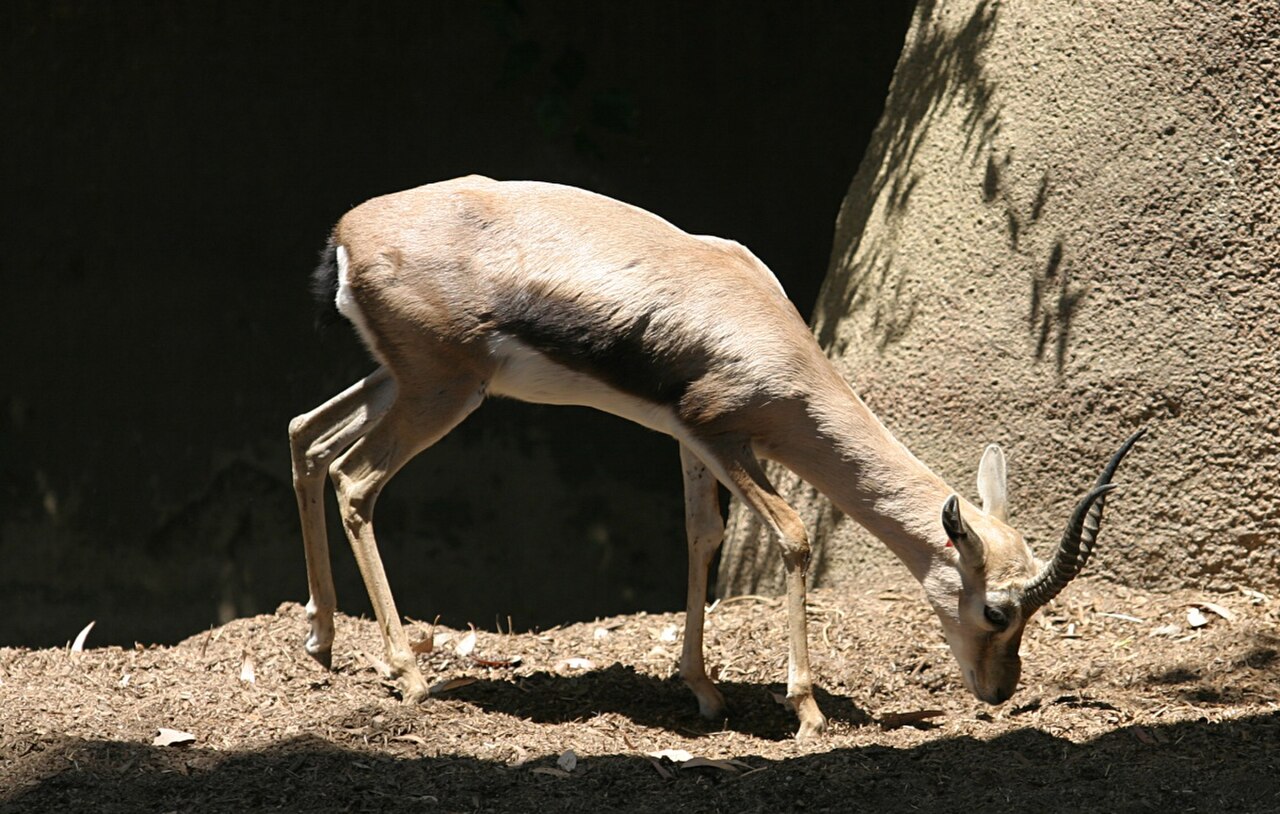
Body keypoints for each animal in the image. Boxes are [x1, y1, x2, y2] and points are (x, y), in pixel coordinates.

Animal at [288, 175, 1143, 737]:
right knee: (355, 481)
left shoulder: (692, 440)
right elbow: (793, 534)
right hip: (444, 390)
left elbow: (702, 537)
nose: (1000, 691)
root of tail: (348, 234)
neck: (763, 325)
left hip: (405, 380)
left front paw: (703, 690)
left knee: (307, 434)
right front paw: (806, 710)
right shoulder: (720, 434)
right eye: (998, 610)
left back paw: (323, 641)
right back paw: (408, 676)